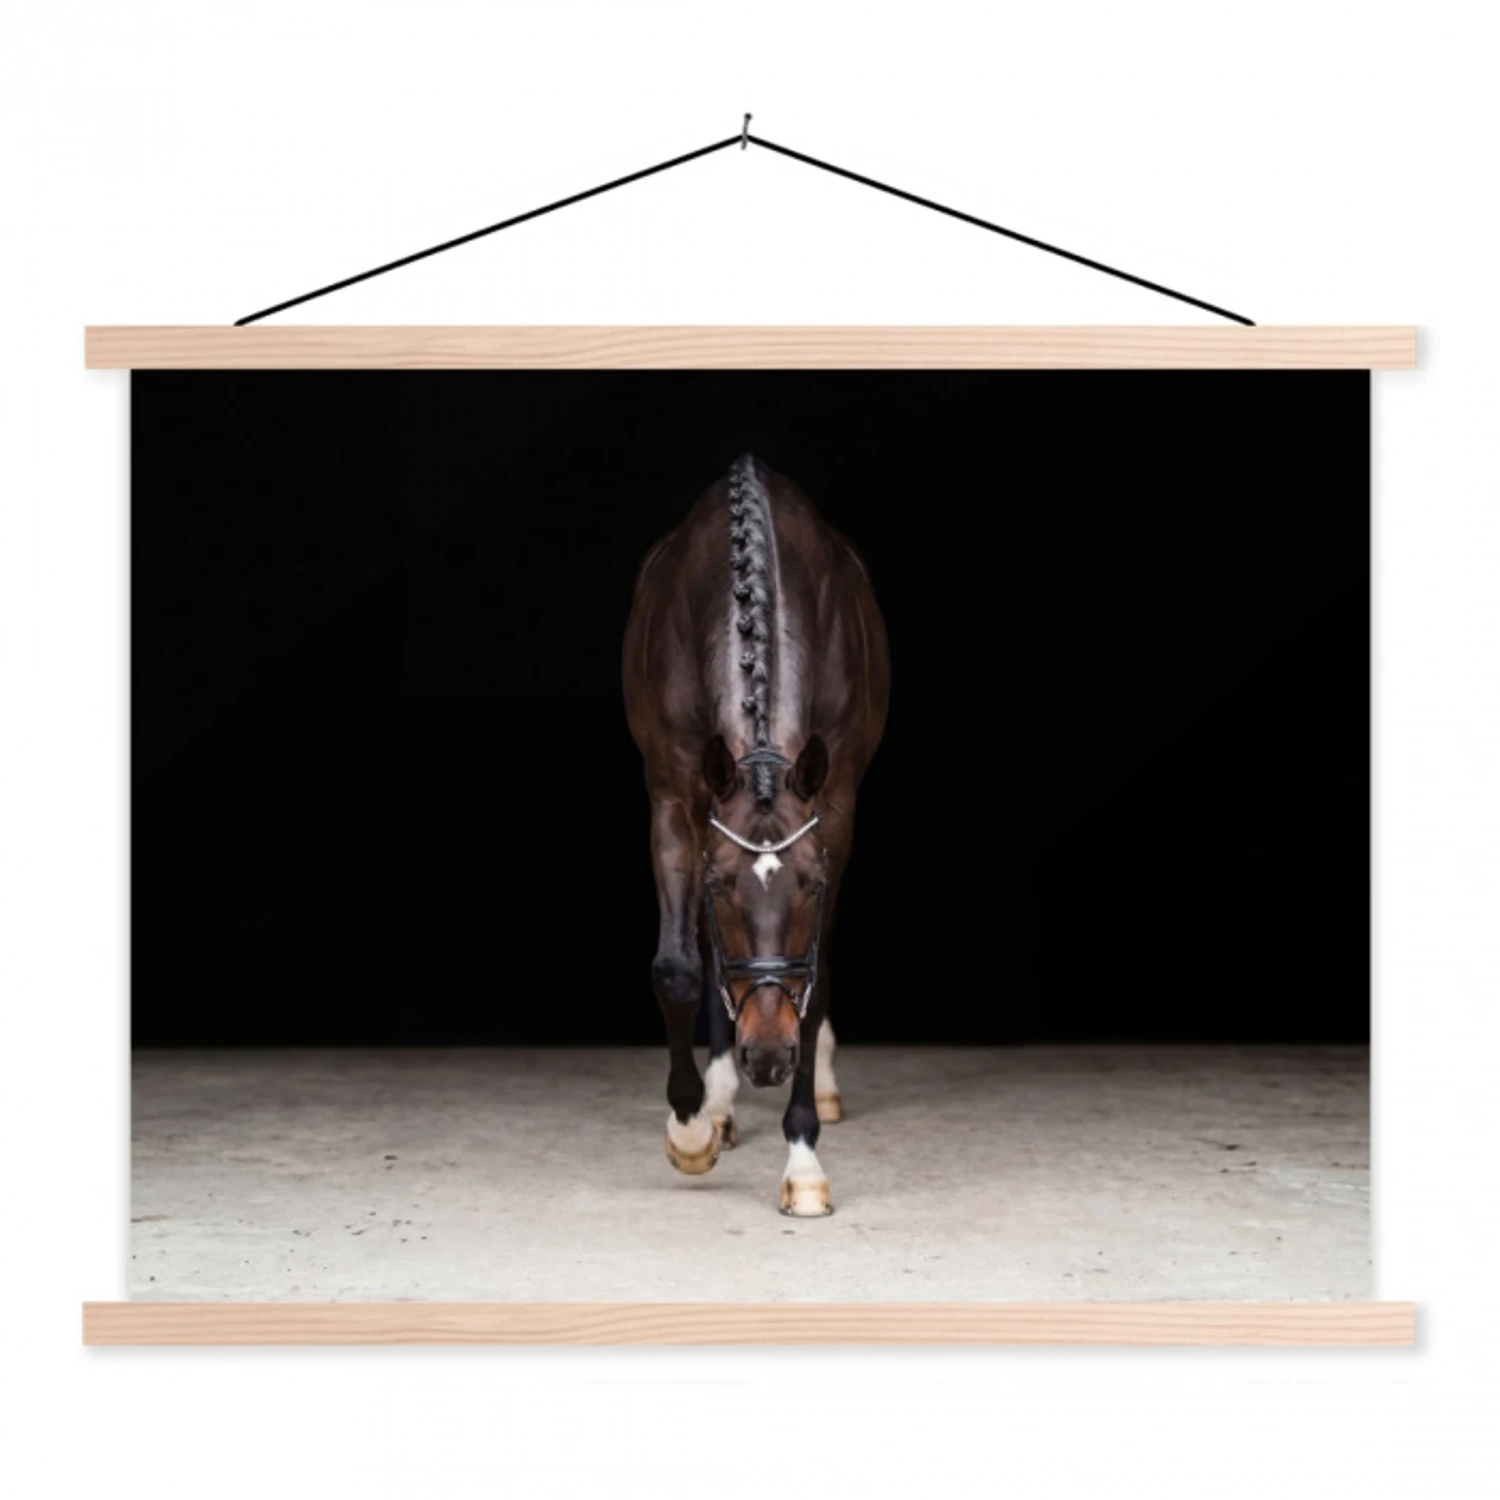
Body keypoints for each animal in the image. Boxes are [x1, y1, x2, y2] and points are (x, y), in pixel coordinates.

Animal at [622, 453, 890, 1215]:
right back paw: (718, 1102)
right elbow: (680, 966)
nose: (768, 1058)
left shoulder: (834, 808)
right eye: (718, 887)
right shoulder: (674, 798)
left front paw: (802, 1161)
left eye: (812, 885)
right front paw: (690, 1129)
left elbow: (814, 979)